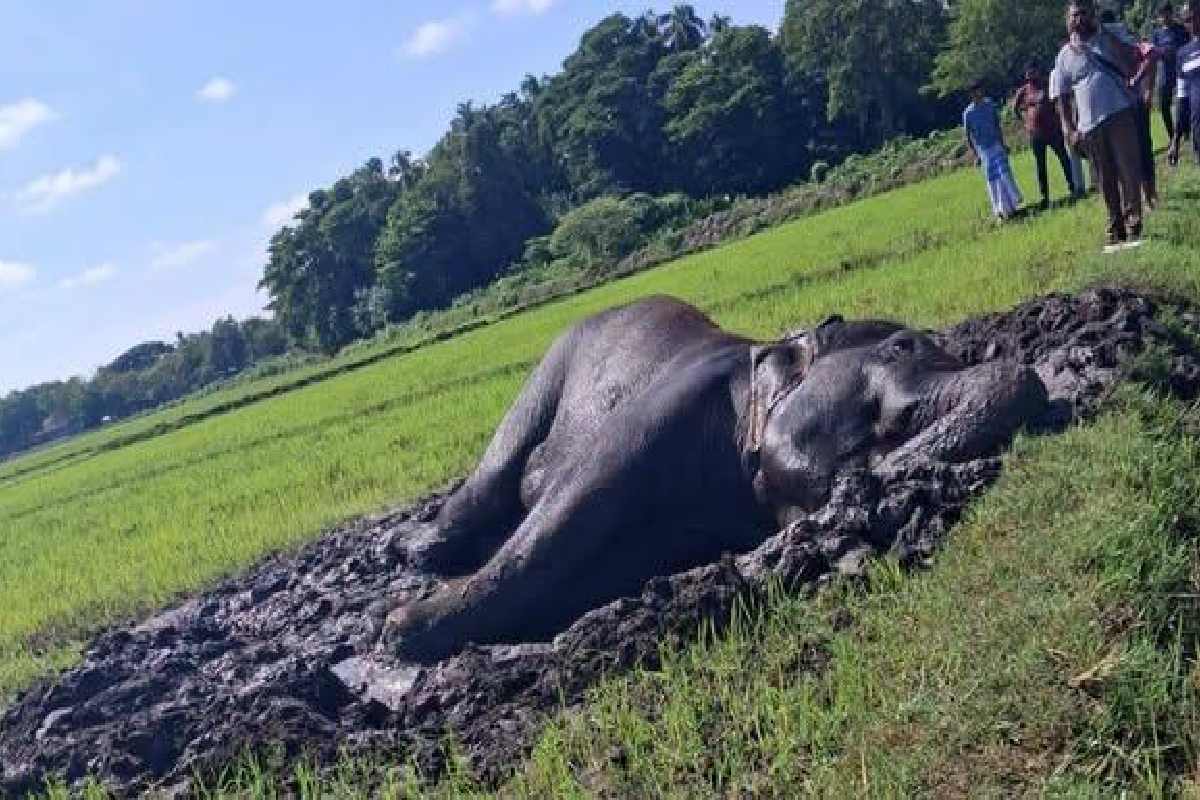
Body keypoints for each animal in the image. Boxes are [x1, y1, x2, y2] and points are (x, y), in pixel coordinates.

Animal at [384, 296, 1048, 661]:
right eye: (904, 345)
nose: (1022, 371)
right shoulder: (658, 414)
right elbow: (562, 518)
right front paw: (399, 631)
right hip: (551, 363)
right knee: (497, 466)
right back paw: (409, 552)